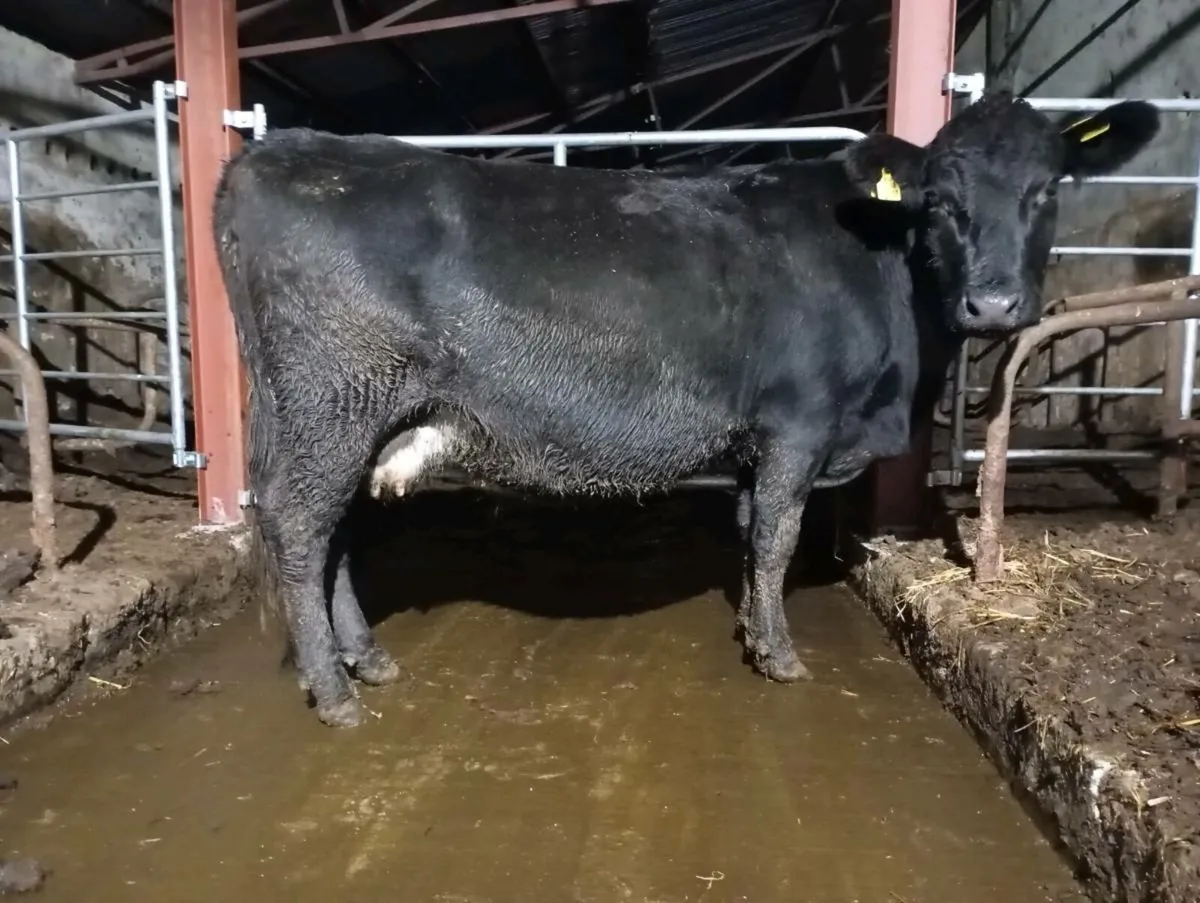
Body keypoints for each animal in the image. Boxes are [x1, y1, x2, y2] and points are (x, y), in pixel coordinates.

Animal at [212, 91, 1160, 727]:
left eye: (1048, 190)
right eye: (941, 203)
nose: (994, 304)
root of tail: (276, 152)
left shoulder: (760, 441)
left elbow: (747, 531)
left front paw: (749, 627)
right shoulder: (798, 422)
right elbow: (777, 535)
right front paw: (779, 654)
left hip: (348, 418)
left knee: (335, 533)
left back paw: (365, 659)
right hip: (331, 402)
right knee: (299, 525)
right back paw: (335, 692)